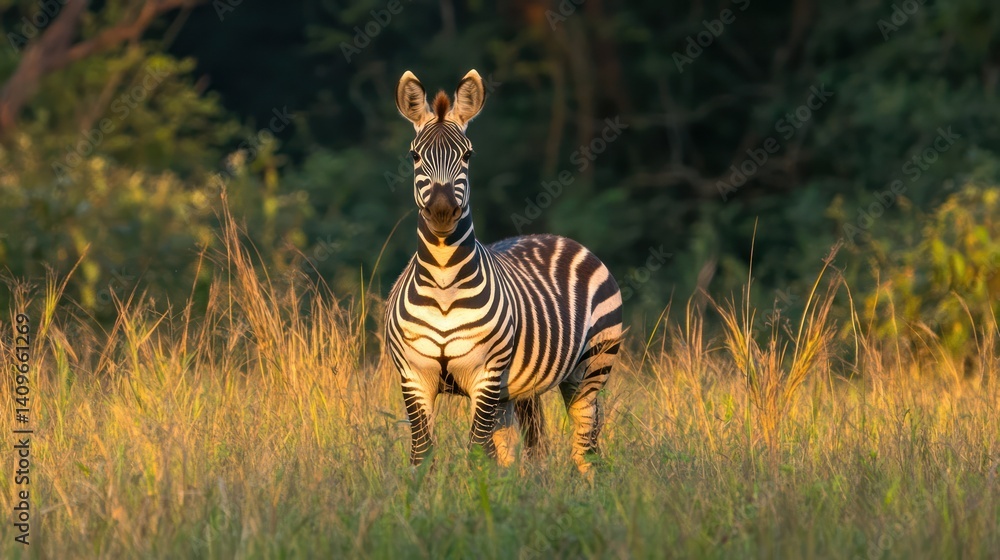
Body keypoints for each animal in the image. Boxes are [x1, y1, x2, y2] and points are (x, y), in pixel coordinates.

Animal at [384, 69, 624, 474]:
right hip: (518, 390)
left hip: (590, 368)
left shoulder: (486, 375)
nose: (442, 209)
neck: (444, 281)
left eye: (468, 154)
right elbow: (422, 455)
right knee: (528, 449)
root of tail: (556, 236)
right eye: (414, 155)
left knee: (584, 448)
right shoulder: (414, 376)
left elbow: (476, 454)